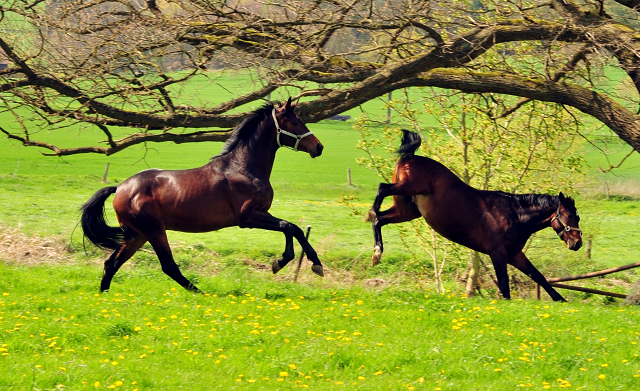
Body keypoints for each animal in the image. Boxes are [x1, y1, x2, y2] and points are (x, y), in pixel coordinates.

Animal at [80, 99, 324, 292]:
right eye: (295, 122)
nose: (319, 147)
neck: (243, 167)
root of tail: (120, 187)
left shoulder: (262, 212)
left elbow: (295, 228)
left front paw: (311, 263)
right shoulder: (248, 217)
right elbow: (287, 226)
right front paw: (283, 262)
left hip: (137, 235)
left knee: (111, 264)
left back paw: (104, 296)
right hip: (154, 231)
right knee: (168, 266)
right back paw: (200, 292)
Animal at [364, 130, 580, 302]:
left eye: (577, 217)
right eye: (570, 215)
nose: (577, 243)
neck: (514, 216)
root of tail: (410, 157)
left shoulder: (515, 254)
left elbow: (538, 276)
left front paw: (561, 300)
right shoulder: (498, 253)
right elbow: (504, 284)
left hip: (407, 210)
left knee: (380, 219)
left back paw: (377, 252)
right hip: (409, 187)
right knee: (382, 190)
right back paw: (371, 218)